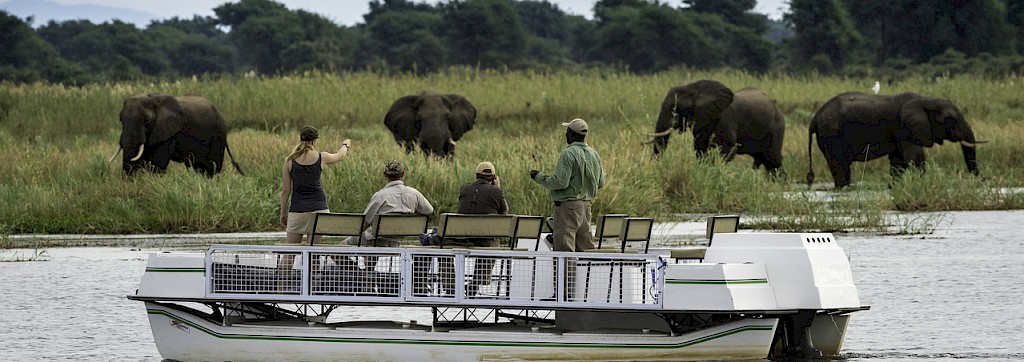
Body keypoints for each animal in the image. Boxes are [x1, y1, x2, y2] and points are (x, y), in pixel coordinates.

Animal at [110, 94, 243, 177]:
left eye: (146, 122)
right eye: (120, 120)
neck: (152, 99)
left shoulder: (168, 132)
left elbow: (157, 163)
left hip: (218, 136)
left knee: (212, 167)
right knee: (197, 166)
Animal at [651, 79, 786, 172]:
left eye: (674, 109)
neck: (694, 89)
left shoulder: (725, 118)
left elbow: (729, 149)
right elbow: (700, 149)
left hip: (776, 127)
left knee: (773, 159)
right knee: (765, 160)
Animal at [806, 91, 983, 189]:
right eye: (950, 119)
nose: (980, 180)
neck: (925, 100)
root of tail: (815, 118)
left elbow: (898, 160)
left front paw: (893, 187)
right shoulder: (905, 128)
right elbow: (915, 157)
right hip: (831, 135)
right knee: (839, 165)